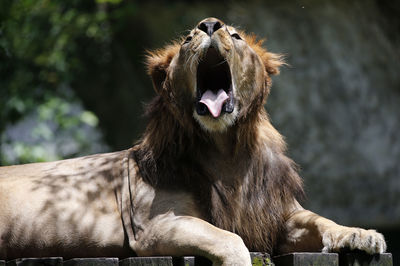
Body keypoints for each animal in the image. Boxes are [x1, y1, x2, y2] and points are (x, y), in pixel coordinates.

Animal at [0, 17, 388, 264]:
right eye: (188, 39)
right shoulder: (154, 227)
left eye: (236, 35)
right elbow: (231, 240)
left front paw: (361, 234)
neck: (228, 151)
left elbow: (320, 220)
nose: (209, 24)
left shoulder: (277, 214)